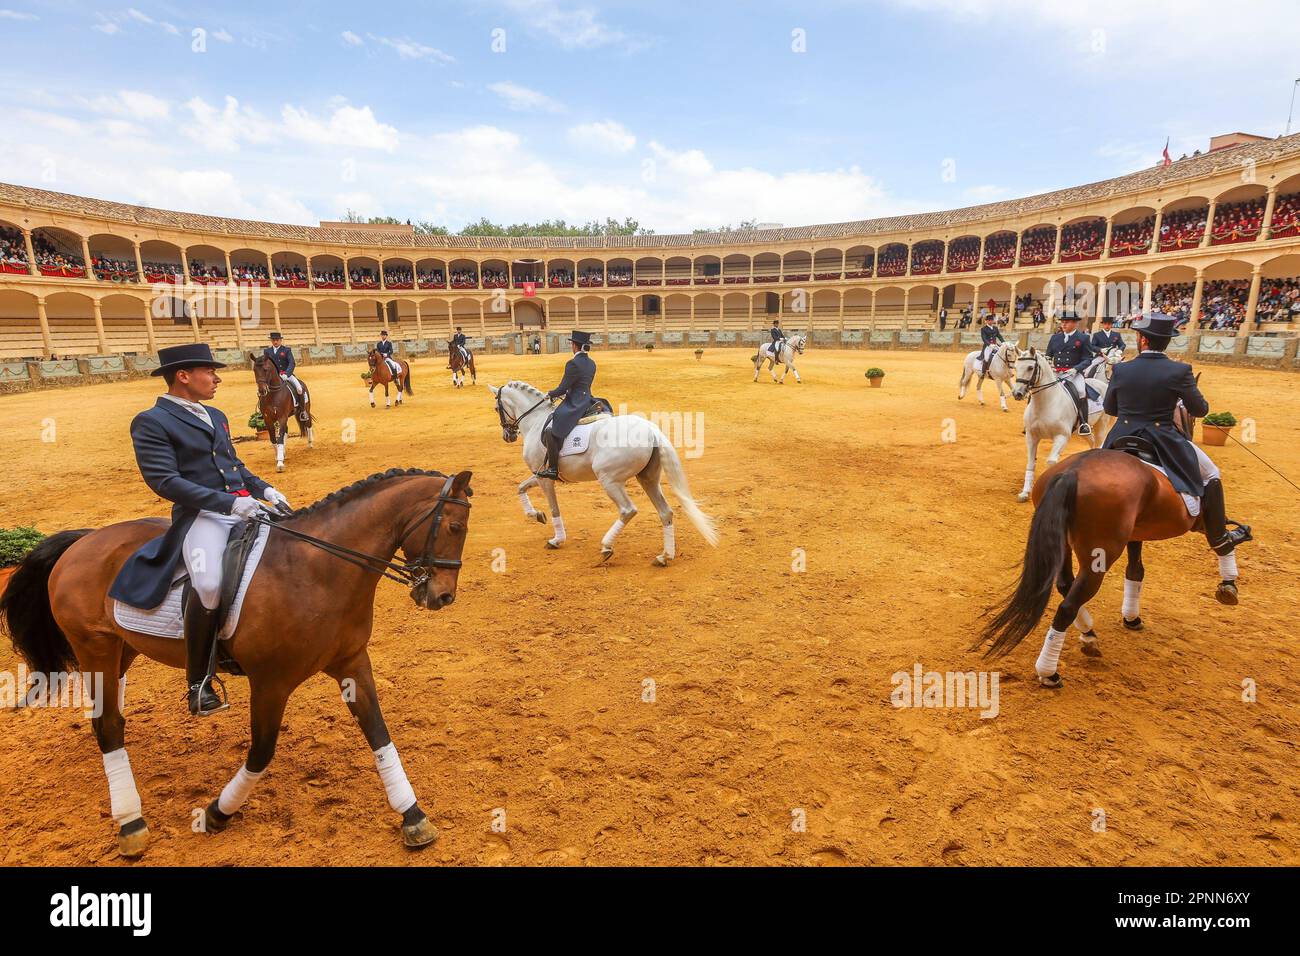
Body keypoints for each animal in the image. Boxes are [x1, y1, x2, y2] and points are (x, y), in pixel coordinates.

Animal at [0, 468, 475, 858]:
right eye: (454, 526)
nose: (442, 597)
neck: (317, 568)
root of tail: (82, 540)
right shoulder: (271, 682)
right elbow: (262, 752)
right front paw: (217, 813)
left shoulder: (351, 663)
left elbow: (378, 732)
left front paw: (413, 816)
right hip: (95, 645)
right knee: (108, 724)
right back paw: (131, 823)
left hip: (121, 648)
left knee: (106, 714)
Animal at [488, 379, 722, 564]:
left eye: (496, 409)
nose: (508, 436)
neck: (536, 421)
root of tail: (652, 431)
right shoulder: (539, 474)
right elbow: (521, 488)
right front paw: (536, 514)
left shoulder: (546, 478)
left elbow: (554, 509)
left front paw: (556, 539)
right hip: (648, 479)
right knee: (665, 512)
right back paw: (664, 557)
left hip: (609, 479)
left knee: (628, 510)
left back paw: (606, 547)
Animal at [977, 398, 1227, 686]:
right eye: (1193, 416)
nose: (1189, 431)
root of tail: (1072, 472)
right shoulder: (1197, 521)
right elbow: (1217, 536)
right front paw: (1228, 581)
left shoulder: (1136, 534)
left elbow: (1135, 571)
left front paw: (1131, 617)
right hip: (1100, 555)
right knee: (1068, 604)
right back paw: (1049, 671)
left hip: (1065, 544)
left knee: (1065, 585)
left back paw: (1088, 633)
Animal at [1008, 348, 1112, 502]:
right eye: (1015, 367)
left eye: (1030, 367)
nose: (1017, 393)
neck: (1045, 402)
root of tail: (1103, 384)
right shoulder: (1032, 436)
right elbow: (1031, 463)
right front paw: (1025, 493)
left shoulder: (1061, 436)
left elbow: (1051, 462)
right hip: (1084, 430)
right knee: (1092, 442)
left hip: (1102, 425)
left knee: (1098, 443)